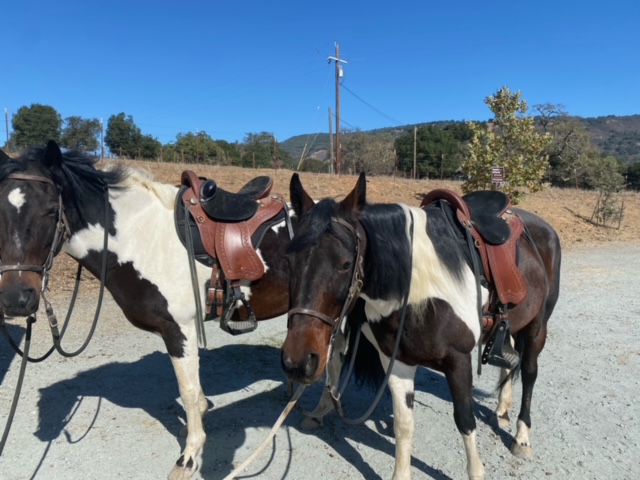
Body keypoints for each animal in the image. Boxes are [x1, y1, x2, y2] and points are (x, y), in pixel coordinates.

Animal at [0, 141, 340, 480]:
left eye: (50, 211)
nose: (17, 299)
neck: (144, 238)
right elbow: (196, 396)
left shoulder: (179, 330)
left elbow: (188, 392)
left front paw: (188, 458)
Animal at [280, 172, 561, 480]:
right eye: (288, 261)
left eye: (345, 264)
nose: (298, 361)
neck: (415, 289)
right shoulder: (397, 362)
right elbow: (404, 424)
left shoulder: (458, 360)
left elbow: (465, 420)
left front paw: (476, 470)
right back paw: (502, 410)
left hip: (537, 327)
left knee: (529, 372)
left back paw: (522, 437)